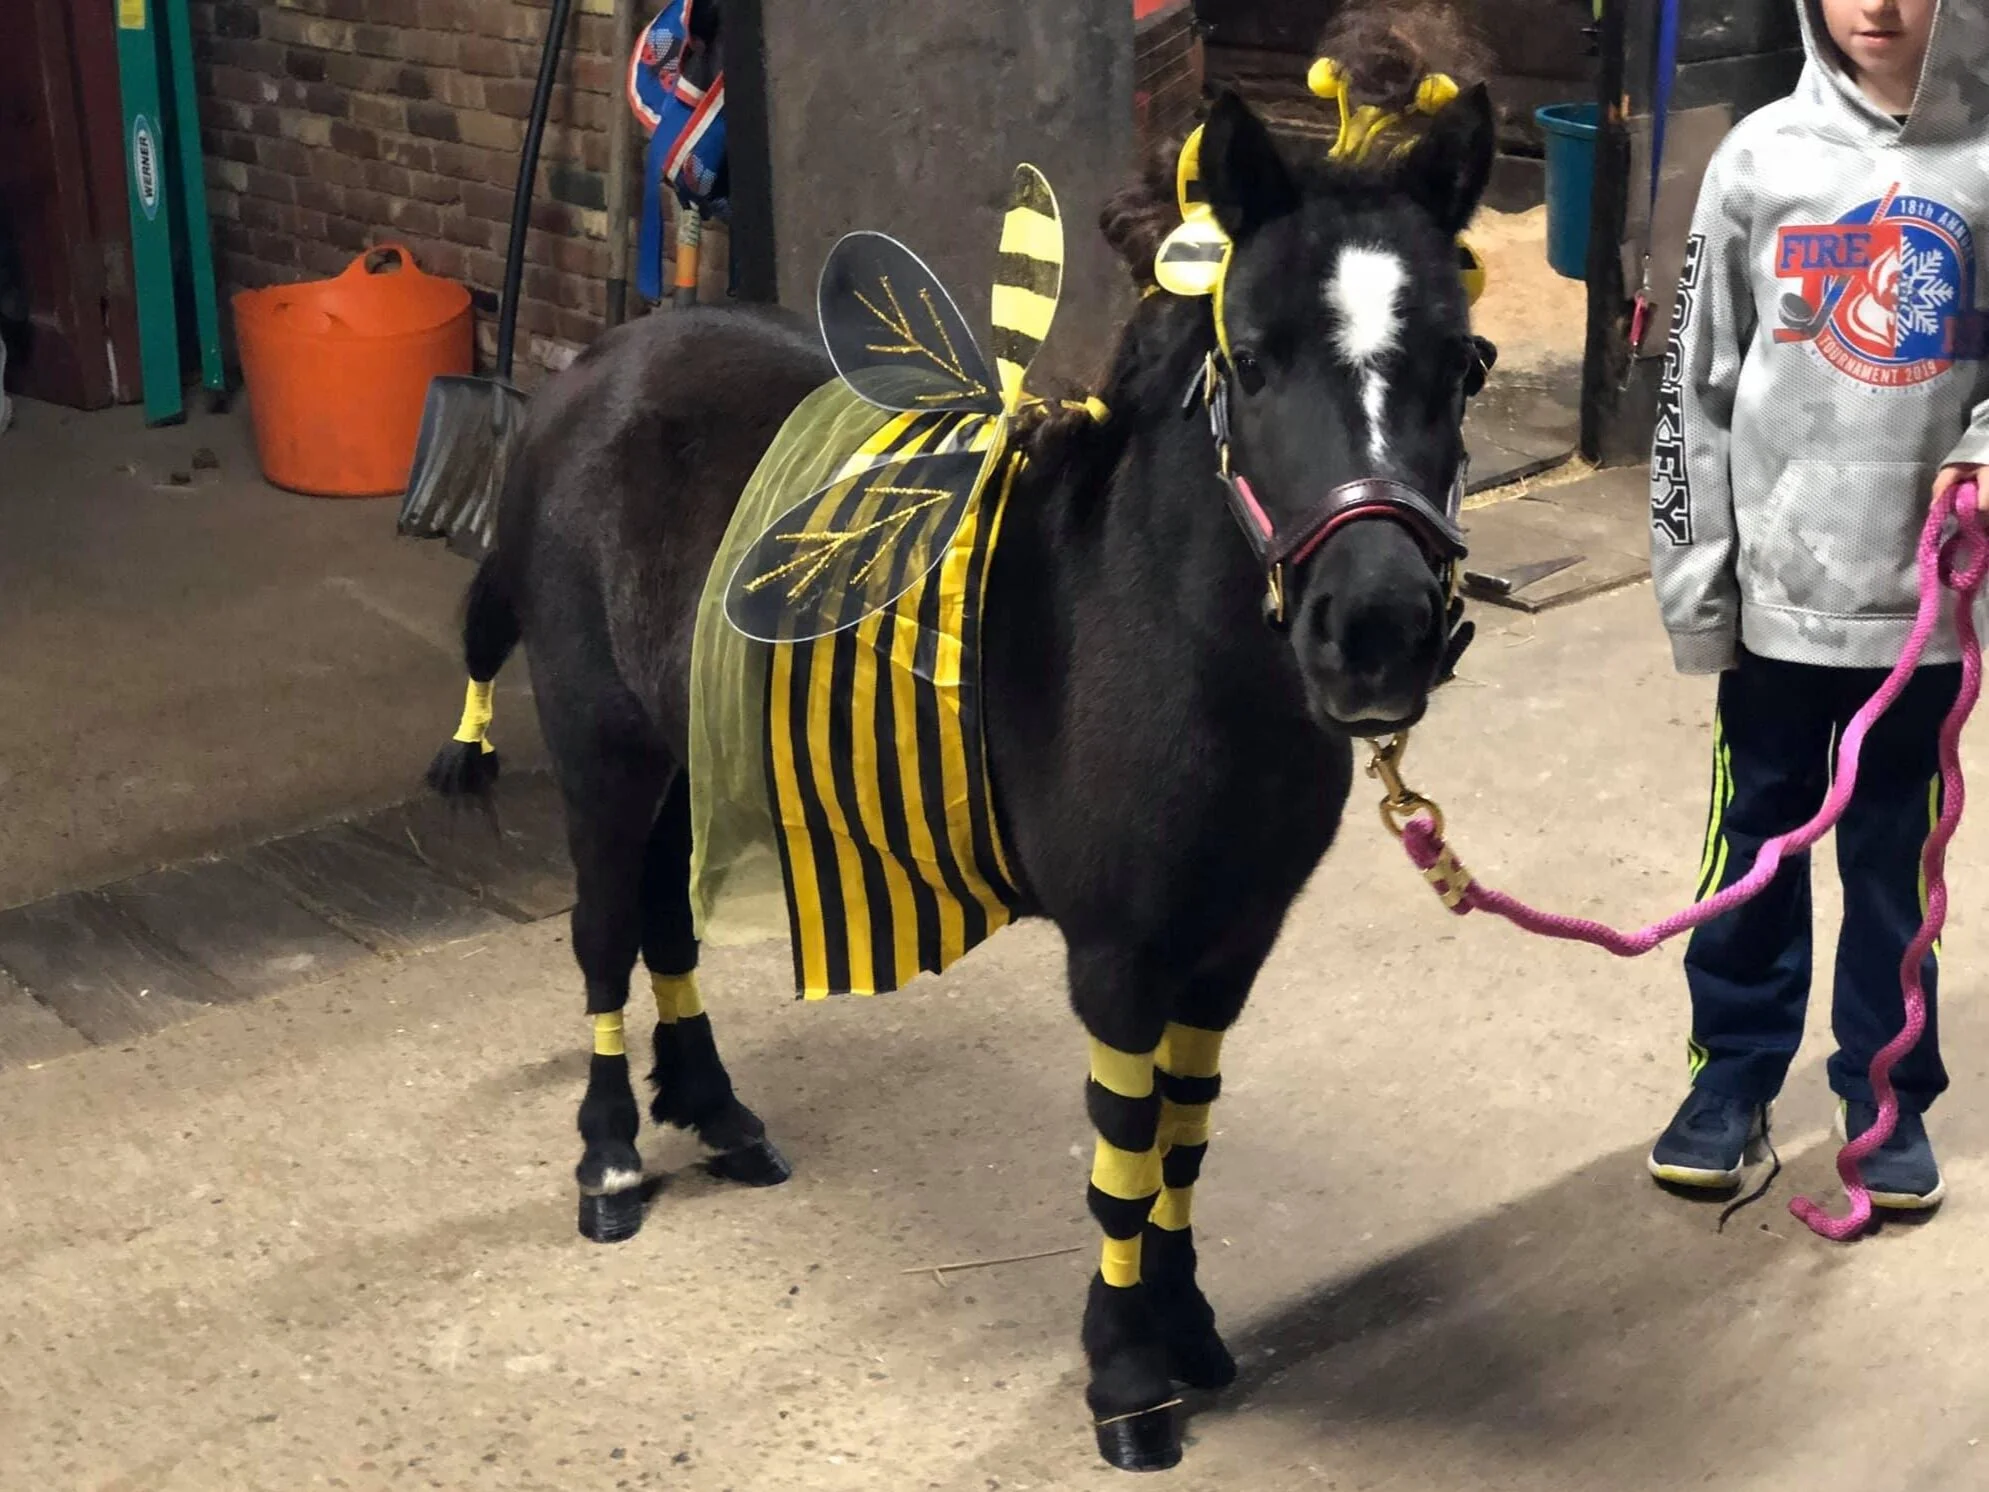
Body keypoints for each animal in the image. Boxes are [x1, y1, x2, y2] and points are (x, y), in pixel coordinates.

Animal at [428, 85, 1495, 1471]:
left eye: (1461, 364)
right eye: (1253, 358)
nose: (1374, 629)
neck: (1149, 619)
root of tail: (586, 375)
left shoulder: (1229, 945)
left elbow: (1189, 1133)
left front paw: (1190, 1325)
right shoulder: (1120, 960)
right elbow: (1128, 1153)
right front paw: (1126, 1378)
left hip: (685, 751)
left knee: (666, 918)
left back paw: (718, 1112)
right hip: (604, 750)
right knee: (607, 929)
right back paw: (609, 1161)